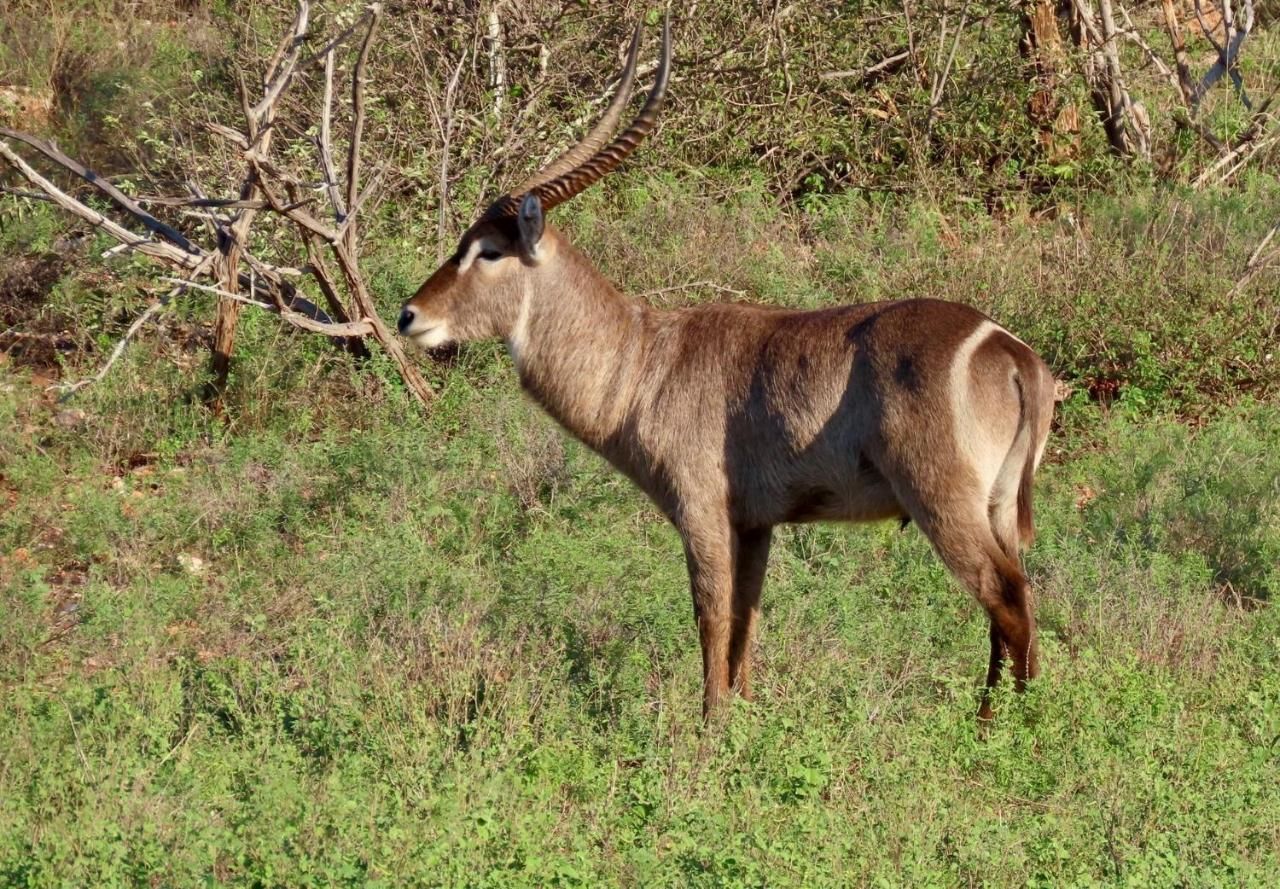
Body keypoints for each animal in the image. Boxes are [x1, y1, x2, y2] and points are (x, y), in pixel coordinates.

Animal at [401, 20, 1059, 721]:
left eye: (489, 251)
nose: (409, 315)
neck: (642, 358)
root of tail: (1010, 352)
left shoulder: (701, 508)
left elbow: (711, 618)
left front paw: (709, 726)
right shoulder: (756, 523)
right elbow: (748, 619)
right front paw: (745, 717)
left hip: (943, 502)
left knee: (1006, 598)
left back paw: (1005, 727)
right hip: (994, 508)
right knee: (1011, 599)